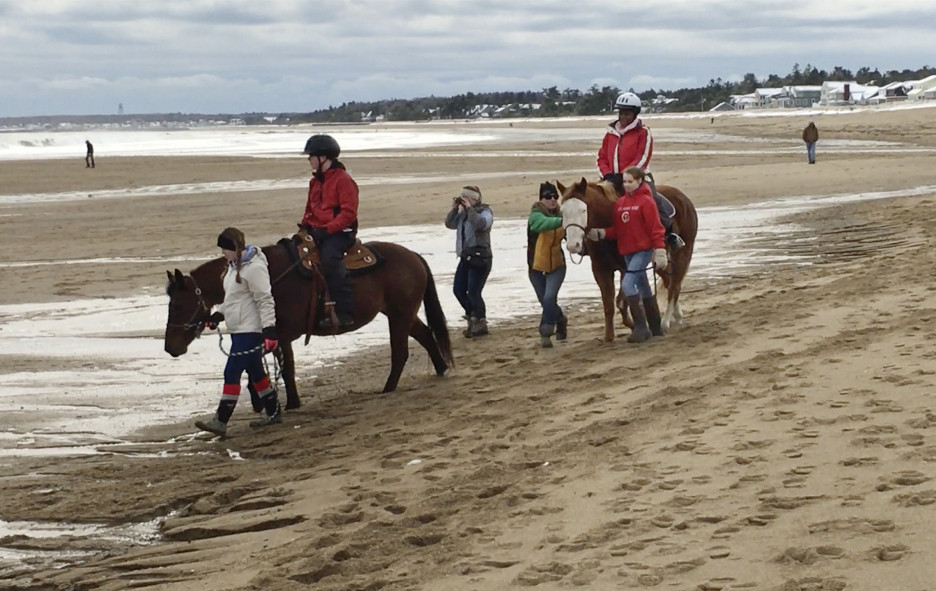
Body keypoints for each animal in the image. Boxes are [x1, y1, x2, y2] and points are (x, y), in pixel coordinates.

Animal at [165, 239, 458, 408]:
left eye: (177, 305)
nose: (170, 348)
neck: (269, 276)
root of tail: (413, 255)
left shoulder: (281, 335)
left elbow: (287, 368)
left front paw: (292, 403)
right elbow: (255, 366)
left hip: (399, 315)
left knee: (400, 352)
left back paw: (388, 388)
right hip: (400, 313)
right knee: (425, 335)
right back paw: (440, 370)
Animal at [556, 176, 696, 342]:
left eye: (583, 210)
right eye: (562, 211)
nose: (573, 245)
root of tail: (683, 198)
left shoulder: (626, 268)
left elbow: (621, 301)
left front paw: (635, 327)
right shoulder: (600, 270)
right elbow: (608, 304)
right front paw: (609, 336)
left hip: (683, 252)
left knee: (675, 285)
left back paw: (666, 321)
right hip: (659, 261)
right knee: (669, 281)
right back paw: (677, 315)